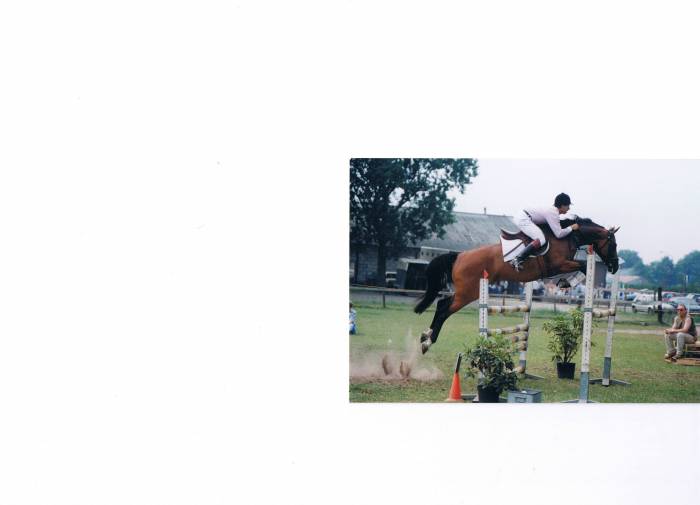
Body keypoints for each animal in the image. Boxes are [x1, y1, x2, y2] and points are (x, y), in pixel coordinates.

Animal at [414, 217, 620, 354]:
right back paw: (427, 342)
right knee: (444, 309)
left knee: (442, 303)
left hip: (466, 291)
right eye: (614, 245)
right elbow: (583, 266)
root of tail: (459, 256)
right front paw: (567, 281)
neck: (568, 236)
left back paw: (425, 334)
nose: (615, 266)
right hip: (468, 292)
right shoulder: (558, 265)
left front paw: (565, 282)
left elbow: (581, 267)